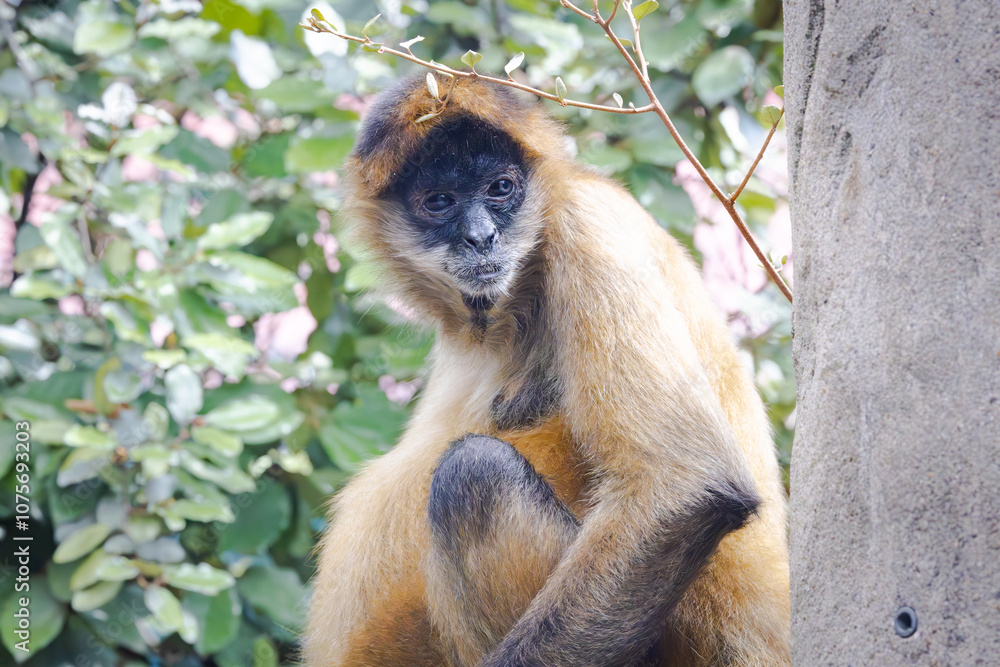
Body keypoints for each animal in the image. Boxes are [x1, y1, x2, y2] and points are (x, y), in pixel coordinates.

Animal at [303, 75, 790, 667]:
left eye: (500, 188)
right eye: (439, 202)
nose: (480, 238)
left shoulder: (588, 221)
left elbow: (688, 487)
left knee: (473, 477)